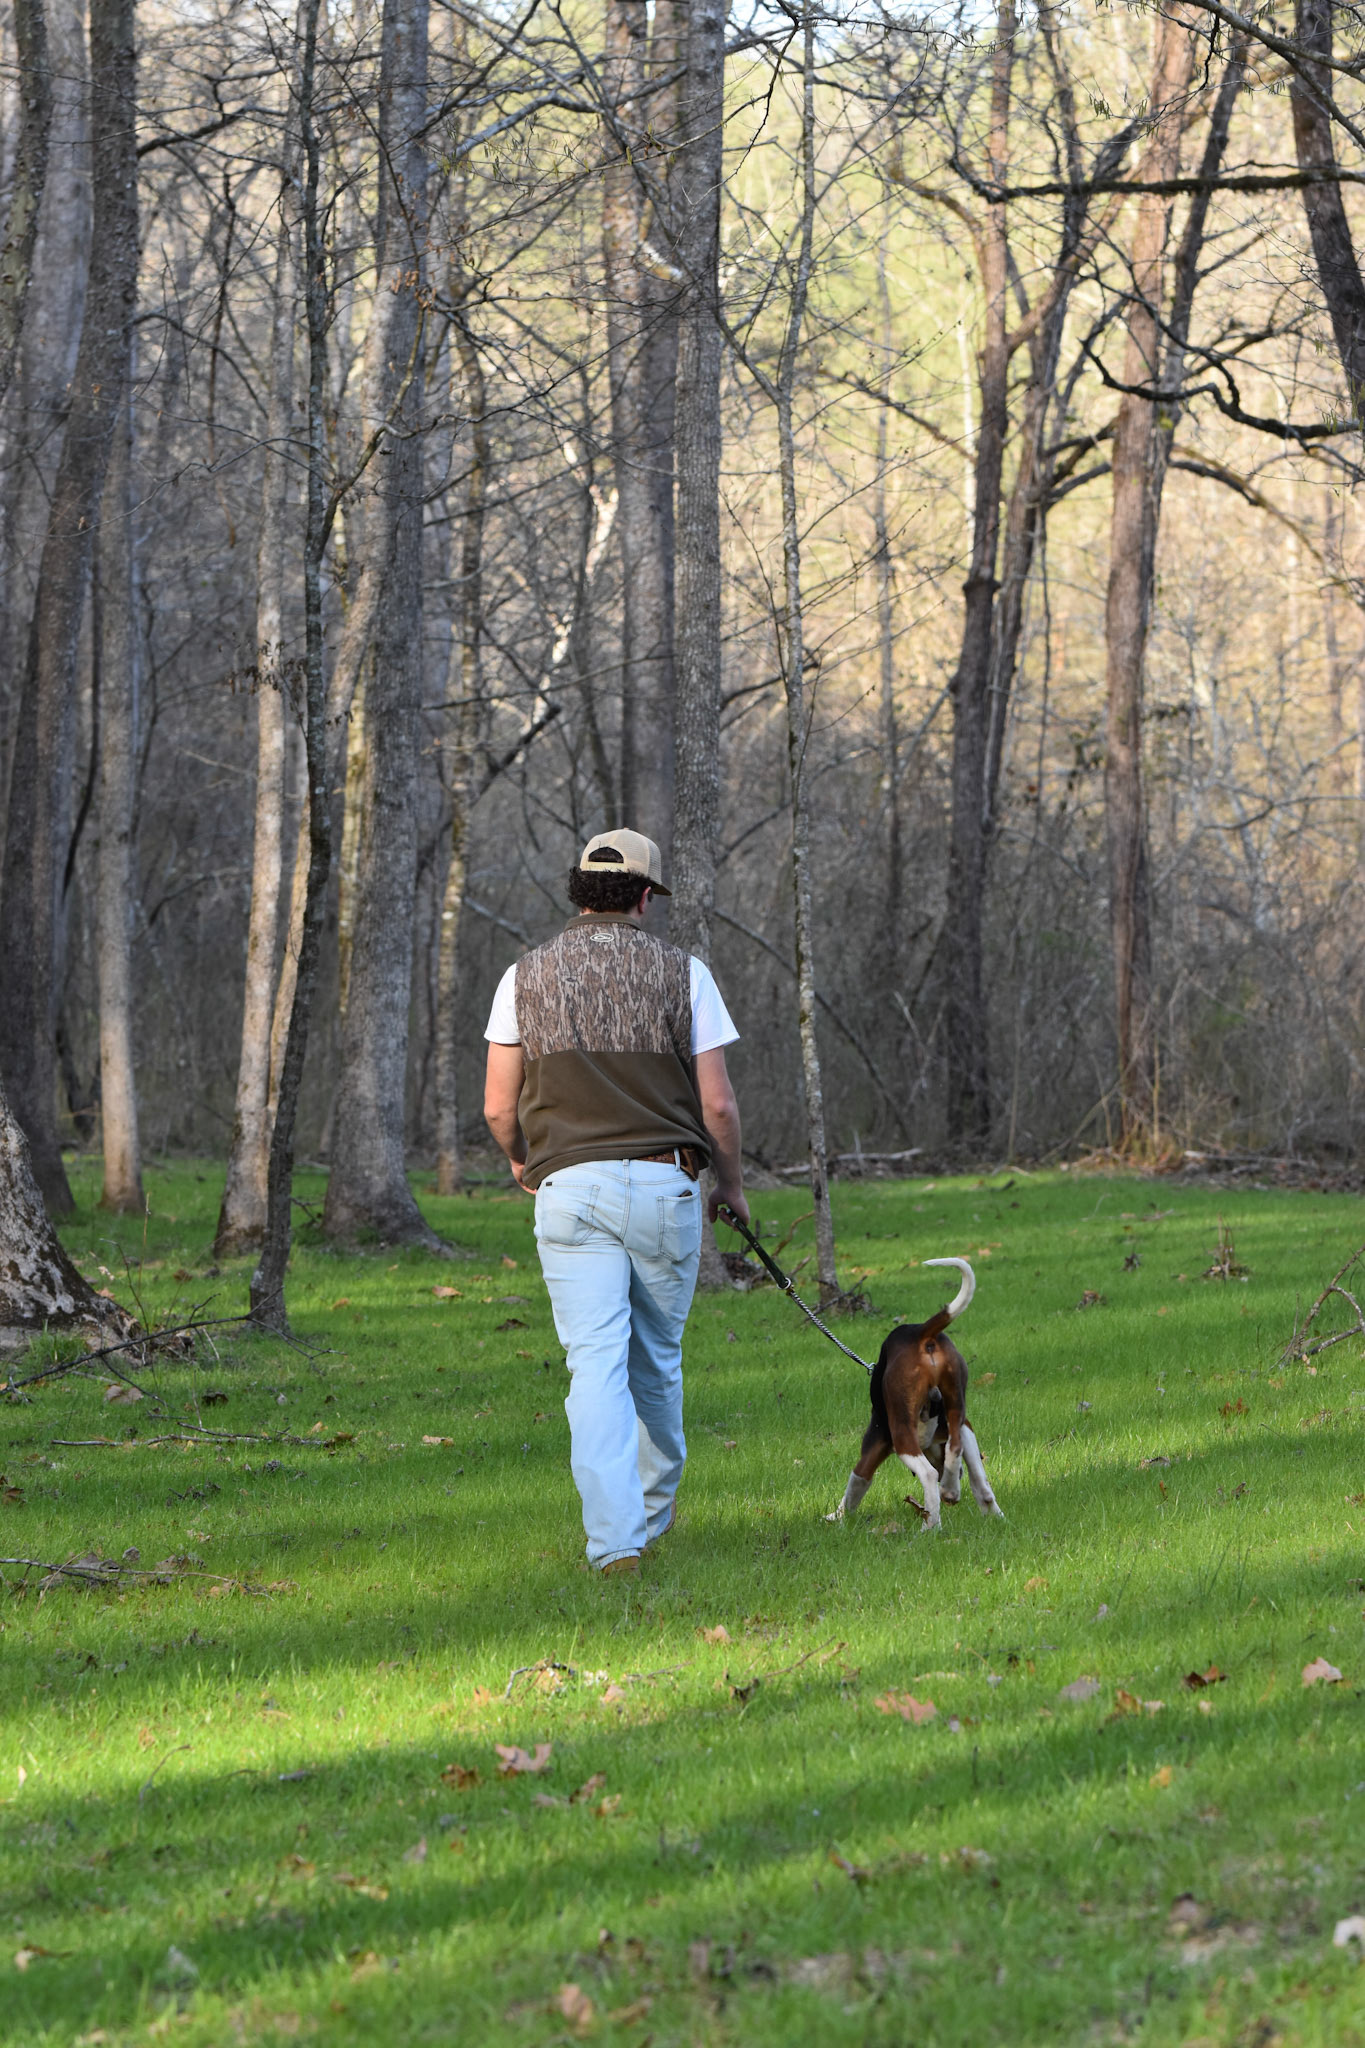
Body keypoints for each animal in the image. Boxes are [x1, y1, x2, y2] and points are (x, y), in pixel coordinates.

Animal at [829, 1258, 1003, 1532]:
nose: (958, 1476)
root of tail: (922, 1332)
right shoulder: (966, 1427)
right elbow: (978, 1477)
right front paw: (989, 1510)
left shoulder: (874, 1446)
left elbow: (855, 1485)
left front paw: (837, 1517)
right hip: (955, 1401)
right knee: (955, 1447)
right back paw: (949, 1491)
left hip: (901, 1432)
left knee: (928, 1474)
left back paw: (930, 1526)